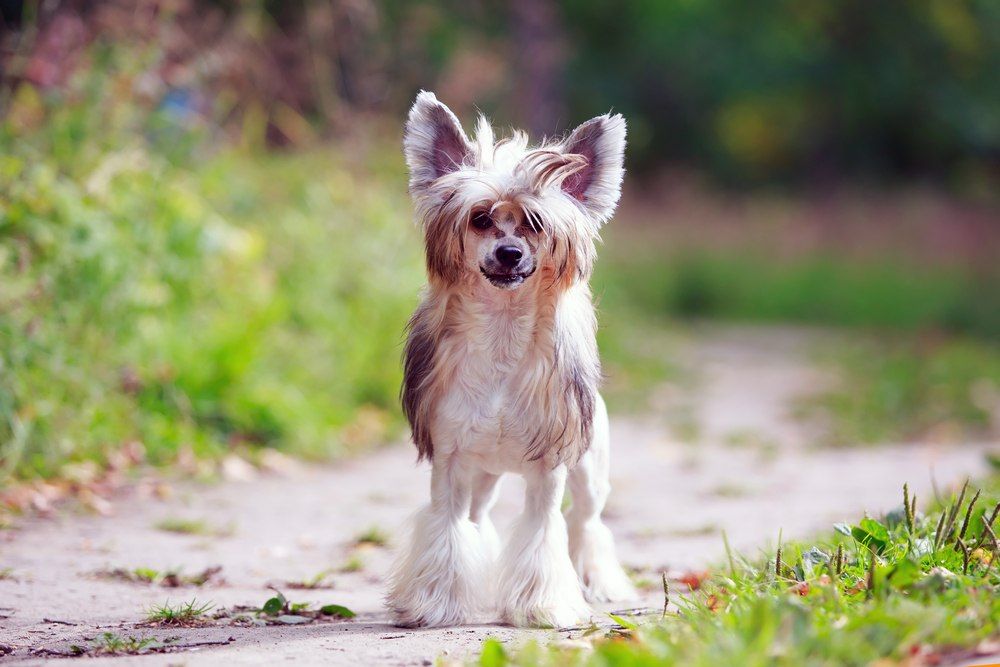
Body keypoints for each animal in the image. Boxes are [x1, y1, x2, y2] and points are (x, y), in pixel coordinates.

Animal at [384, 91, 632, 628]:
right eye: (479, 218)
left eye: (536, 224)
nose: (510, 252)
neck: (502, 335)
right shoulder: (451, 464)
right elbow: (447, 529)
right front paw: (436, 603)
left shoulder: (548, 473)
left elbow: (543, 533)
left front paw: (544, 606)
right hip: (482, 474)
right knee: (476, 520)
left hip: (590, 472)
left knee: (586, 522)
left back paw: (597, 582)